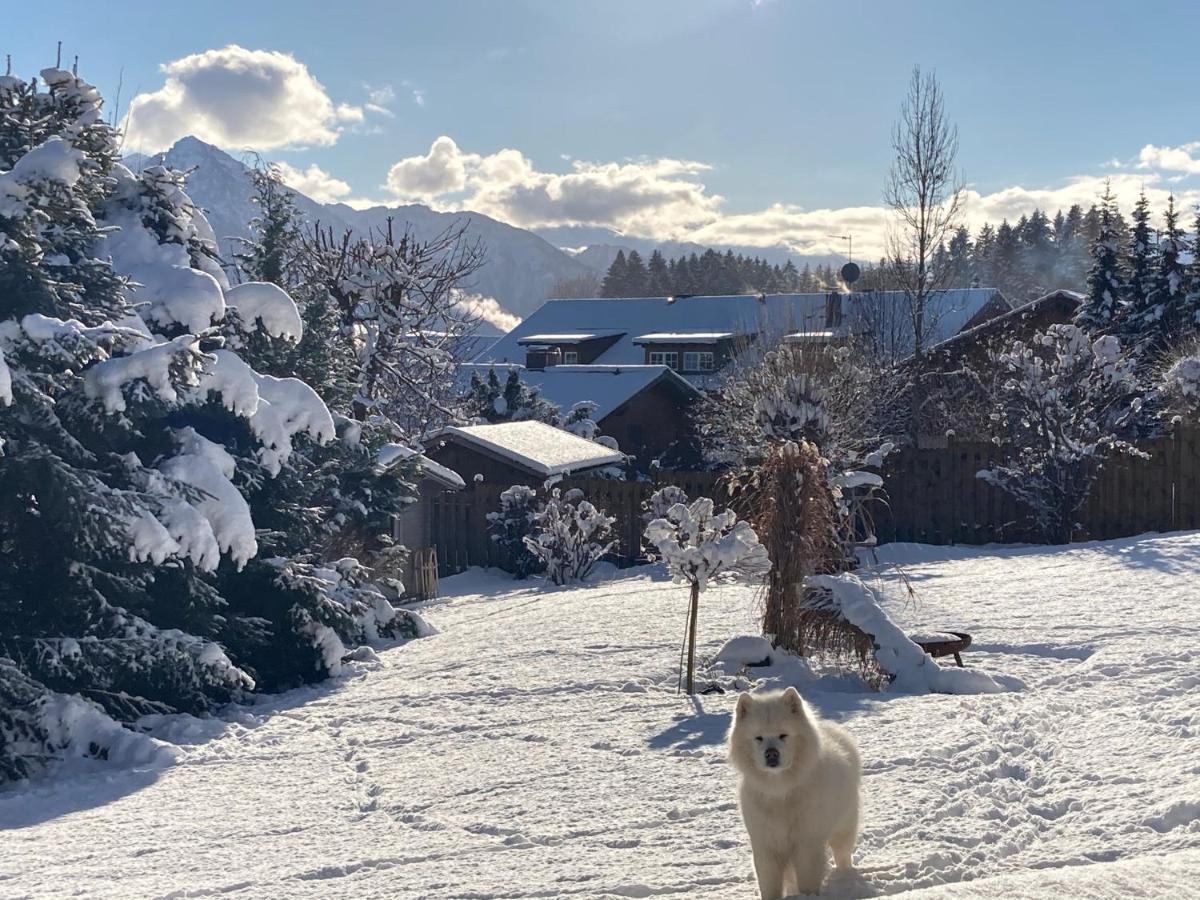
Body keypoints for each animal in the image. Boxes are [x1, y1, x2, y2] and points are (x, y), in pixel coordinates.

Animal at [724, 686, 859, 897]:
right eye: (759, 738)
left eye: (783, 735)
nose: (771, 754)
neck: (780, 789)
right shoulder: (766, 844)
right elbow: (769, 883)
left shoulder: (806, 841)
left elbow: (807, 876)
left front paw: (808, 896)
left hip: (844, 826)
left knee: (843, 854)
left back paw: (846, 876)